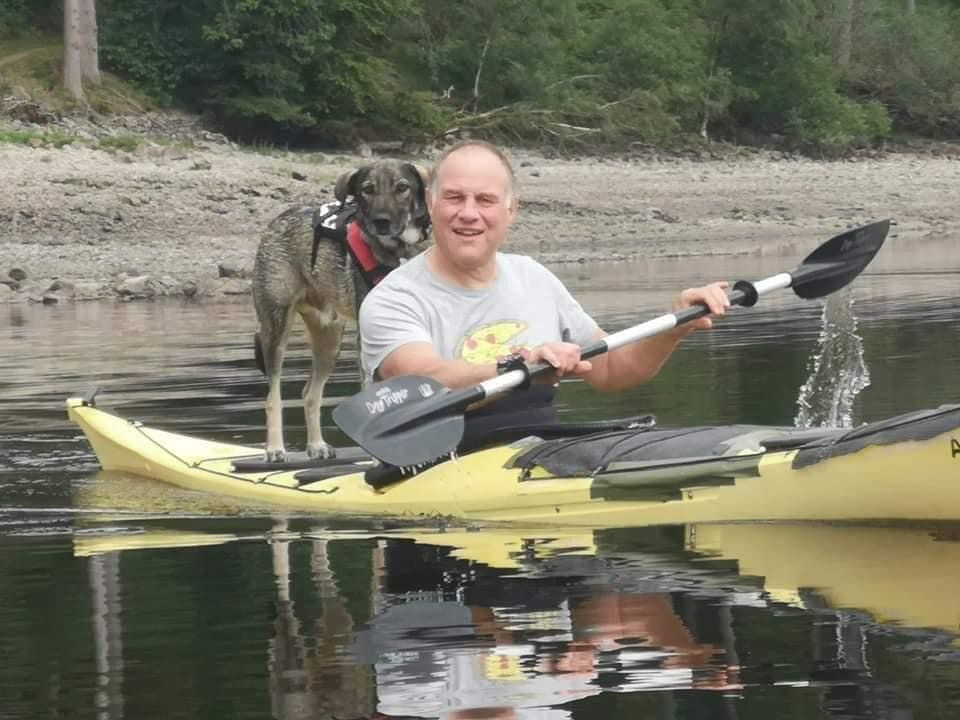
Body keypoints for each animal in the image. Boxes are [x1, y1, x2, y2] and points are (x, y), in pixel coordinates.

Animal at [255, 160, 436, 462]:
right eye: (367, 190)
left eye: (402, 187)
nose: (381, 222)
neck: (401, 252)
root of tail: (278, 219)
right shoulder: (371, 339)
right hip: (276, 329)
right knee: (272, 396)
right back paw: (275, 448)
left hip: (329, 341)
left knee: (310, 393)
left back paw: (317, 445)